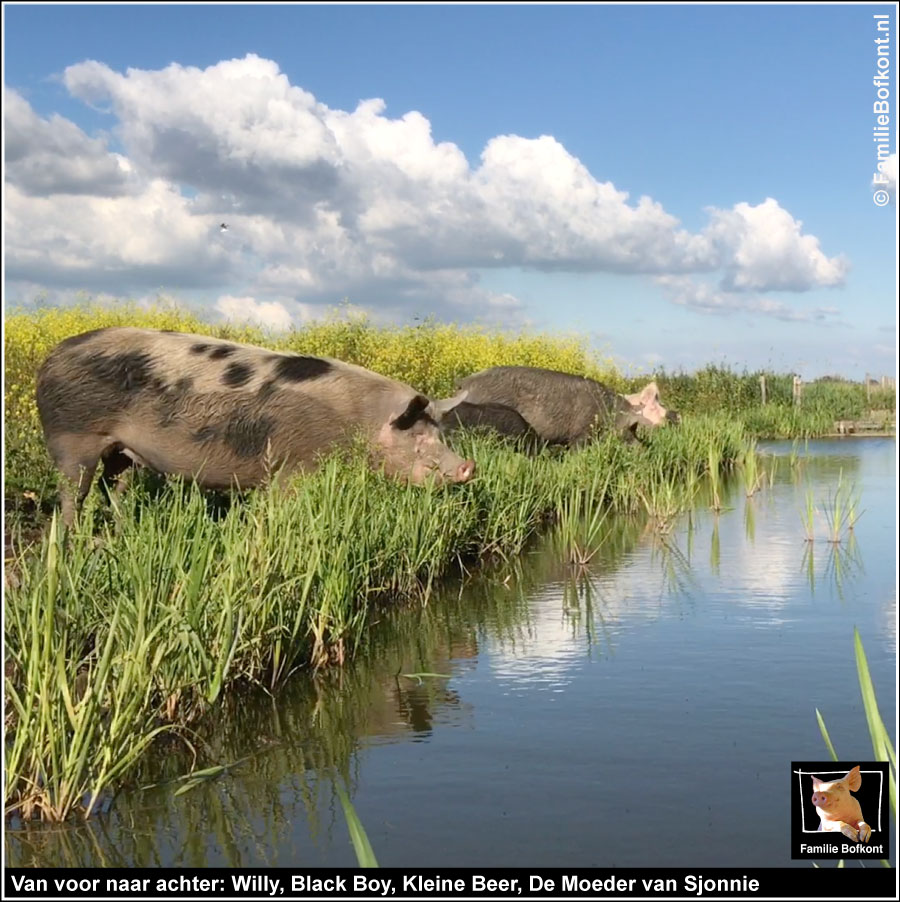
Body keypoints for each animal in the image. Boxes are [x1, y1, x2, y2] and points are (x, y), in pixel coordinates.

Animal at [36, 326, 474, 524]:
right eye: (417, 438)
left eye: (439, 433)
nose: (468, 466)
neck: (359, 422)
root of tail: (53, 353)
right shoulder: (292, 467)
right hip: (70, 438)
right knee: (73, 492)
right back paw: (73, 539)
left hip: (122, 453)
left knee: (115, 489)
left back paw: (122, 530)